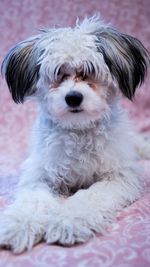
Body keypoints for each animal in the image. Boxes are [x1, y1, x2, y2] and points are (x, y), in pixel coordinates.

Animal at [0, 14, 149, 253]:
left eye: (89, 71)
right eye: (58, 74)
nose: (73, 97)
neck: (78, 130)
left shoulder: (117, 176)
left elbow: (89, 197)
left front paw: (66, 222)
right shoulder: (40, 175)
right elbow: (33, 201)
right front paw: (18, 224)